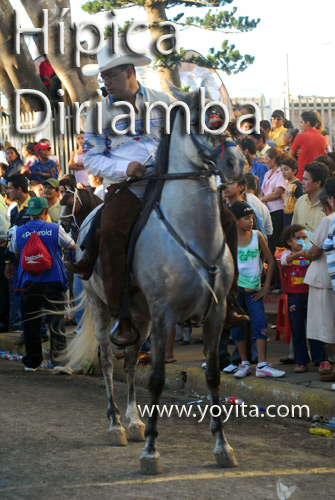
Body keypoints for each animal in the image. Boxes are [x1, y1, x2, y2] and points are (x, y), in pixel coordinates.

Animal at [64, 88, 245, 474]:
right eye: (200, 121)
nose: (237, 164)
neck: (194, 233)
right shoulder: (164, 316)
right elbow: (158, 379)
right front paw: (151, 453)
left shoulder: (216, 315)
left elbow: (213, 376)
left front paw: (223, 447)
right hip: (104, 310)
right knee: (108, 361)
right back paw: (116, 425)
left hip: (140, 318)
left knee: (131, 361)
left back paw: (134, 422)